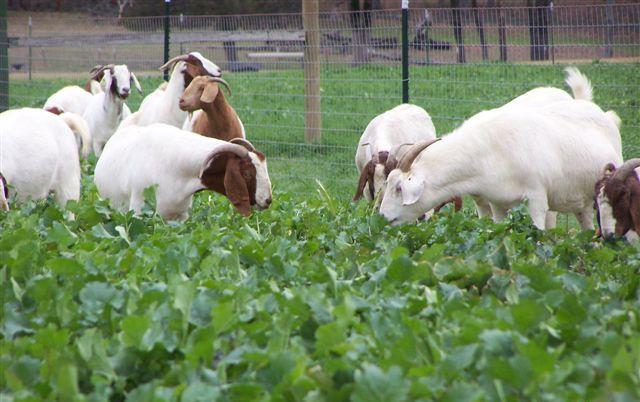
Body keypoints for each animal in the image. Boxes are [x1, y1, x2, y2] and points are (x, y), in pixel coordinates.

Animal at [380, 98, 620, 229]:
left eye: (399, 188)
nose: (382, 217)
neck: (492, 148)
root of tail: (607, 116)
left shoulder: (537, 199)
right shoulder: (497, 203)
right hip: (581, 204)